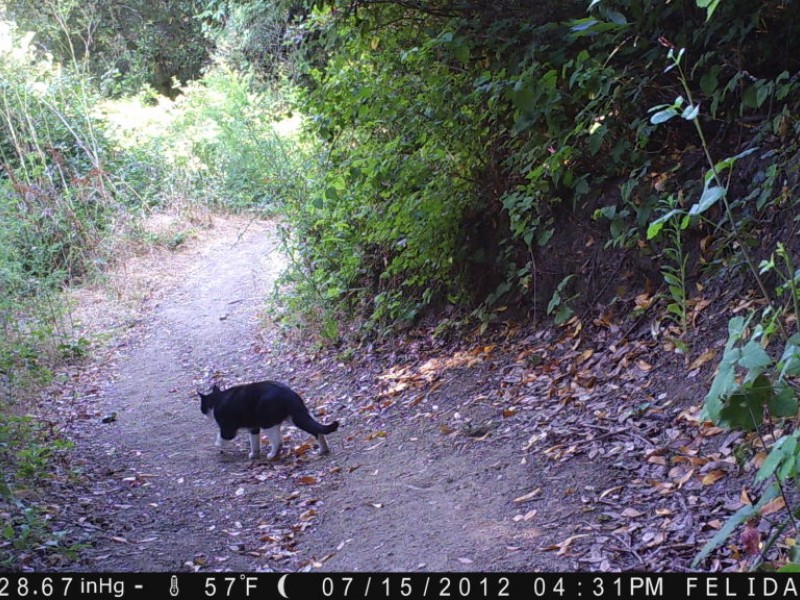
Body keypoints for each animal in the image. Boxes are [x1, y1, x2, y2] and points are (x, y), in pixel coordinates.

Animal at [200, 380, 340, 460]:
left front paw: (218, 446)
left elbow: (221, 438)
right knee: (316, 430)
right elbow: (254, 442)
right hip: (294, 417)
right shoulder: (254, 428)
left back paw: (272, 455)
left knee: (278, 442)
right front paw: (254, 455)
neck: (218, 399)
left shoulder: (227, 428)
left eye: (202, 406)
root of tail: (288, 393)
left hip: (267, 422)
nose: (202, 411)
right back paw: (323, 450)